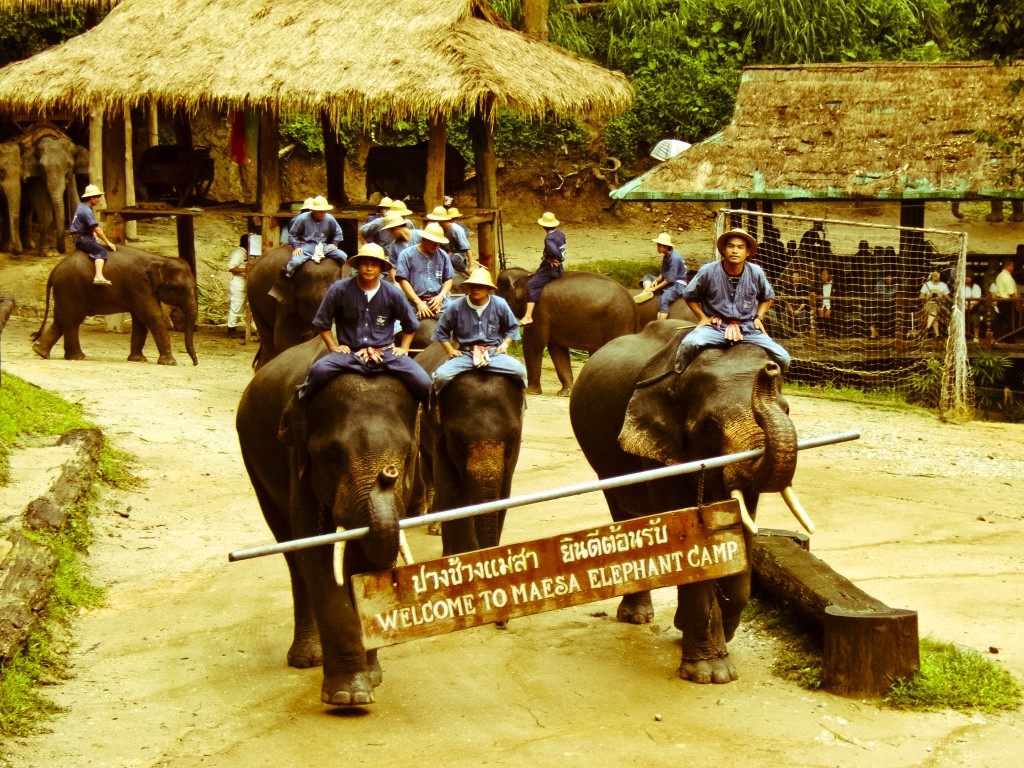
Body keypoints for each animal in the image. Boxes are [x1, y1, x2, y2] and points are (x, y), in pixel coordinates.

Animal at [31, 246, 198, 365]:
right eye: (179, 289)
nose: (195, 363)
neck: (160, 259)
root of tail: (55, 268)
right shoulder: (139, 284)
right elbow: (152, 316)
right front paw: (170, 363)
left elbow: (140, 320)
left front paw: (137, 360)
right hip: (70, 288)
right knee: (72, 321)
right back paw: (78, 357)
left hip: (64, 290)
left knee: (61, 320)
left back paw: (40, 352)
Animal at [236, 337, 424, 706]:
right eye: (333, 455)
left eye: (407, 454)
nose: (387, 475)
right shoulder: (298, 462)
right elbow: (319, 558)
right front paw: (348, 697)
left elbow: (368, 564)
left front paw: (373, 678)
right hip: (253, 461)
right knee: (293, 556)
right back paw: (306, 658)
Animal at [497, 267, 637, 396]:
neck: (528, 278)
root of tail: (632, 302)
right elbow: (557, 349)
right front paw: (565, 393)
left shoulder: (538, 310)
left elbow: (534, 344)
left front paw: (529, 392)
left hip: (618, 320)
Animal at [569, 321, 809, 684]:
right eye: (709, 428)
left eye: (788, 411)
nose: (769, 370)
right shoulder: (657, 450)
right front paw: (711, 674)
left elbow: (739, 533)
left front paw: (715, 633)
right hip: (604, 465)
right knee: (624, 513)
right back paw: (636, 618)